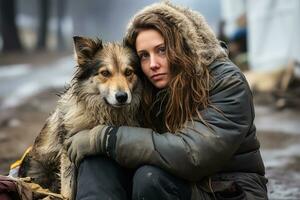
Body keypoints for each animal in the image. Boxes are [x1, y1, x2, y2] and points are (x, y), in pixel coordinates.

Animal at [18, 36, 142, 200]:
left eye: (128, 72)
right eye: (105, 73)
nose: (122, 97)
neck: (106, 115)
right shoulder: (68, 152)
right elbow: (68, 189)